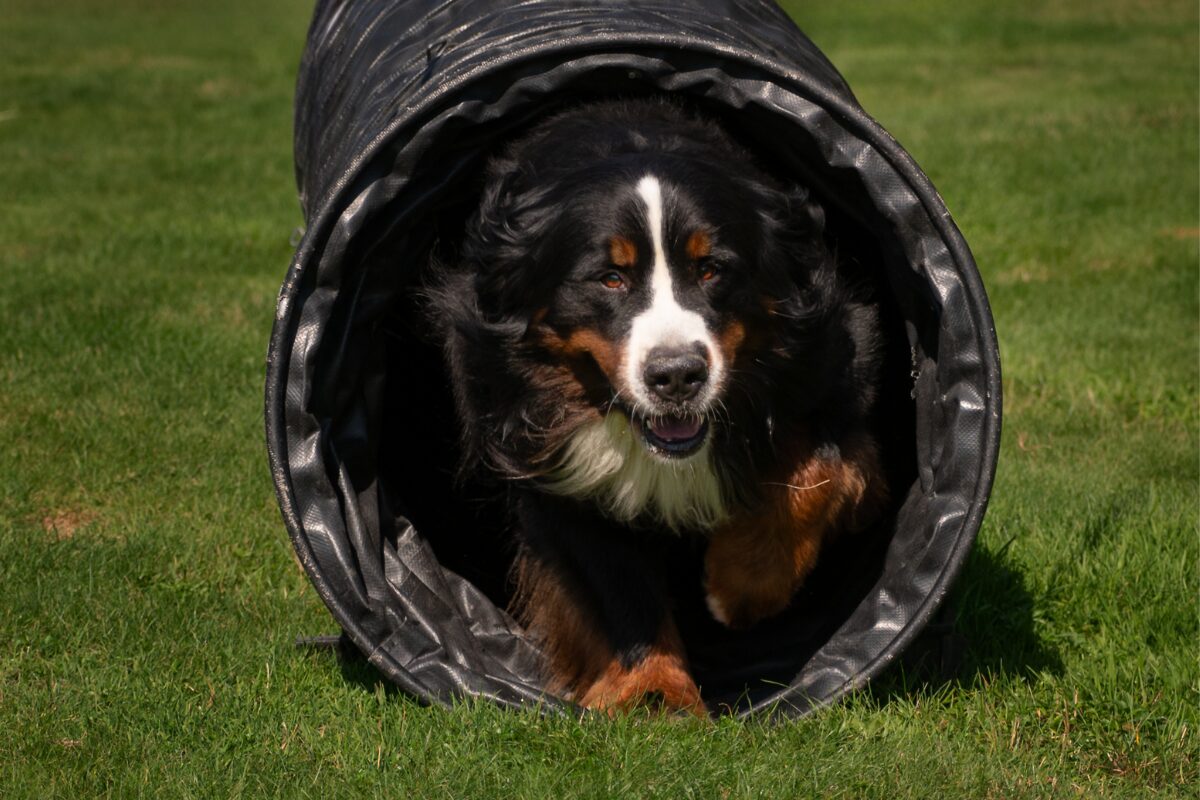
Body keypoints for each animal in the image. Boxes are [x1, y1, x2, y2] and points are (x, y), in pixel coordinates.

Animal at [427, 97, 888, 714]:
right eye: (610, 279)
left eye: (711, 269)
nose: (677, 376)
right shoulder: (545, 459)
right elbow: (616, 584)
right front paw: (655, 691)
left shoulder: (836, 362)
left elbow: (819, 468)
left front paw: (743, 585)